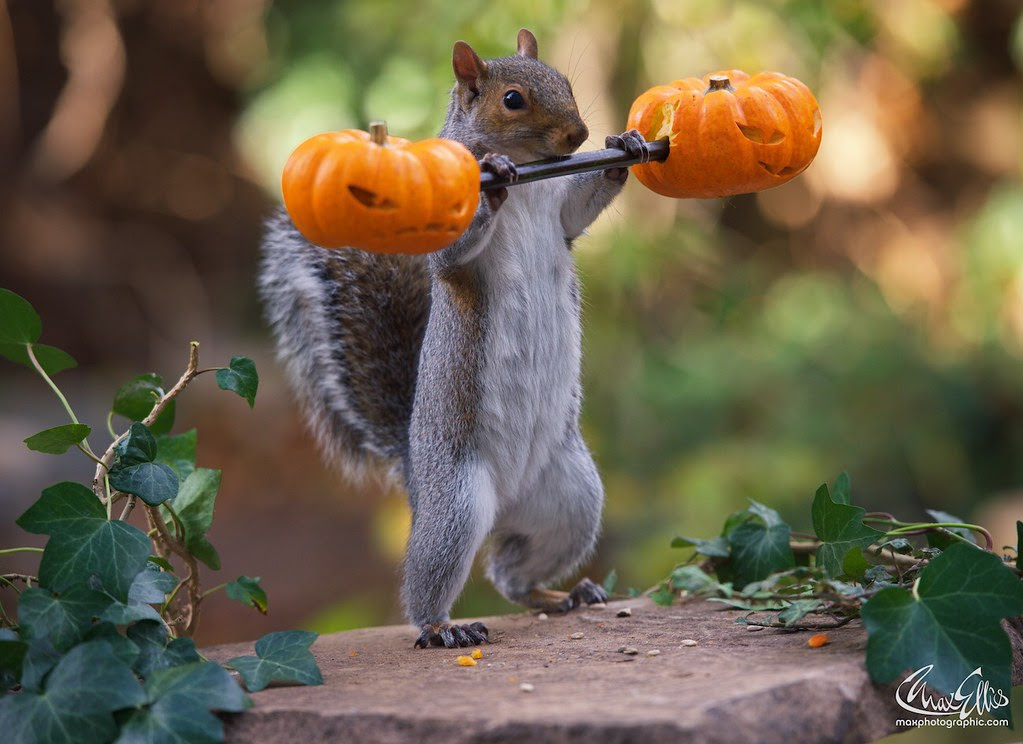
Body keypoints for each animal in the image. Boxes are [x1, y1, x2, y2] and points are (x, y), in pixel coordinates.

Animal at [261, 27, 646, 646]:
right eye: (512, 100)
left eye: (565, 83)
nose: (580, 136)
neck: (533, 178)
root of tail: (416, 476)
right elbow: (454, 249)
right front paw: (495, 176)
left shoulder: (561, 210)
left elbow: (578, 213)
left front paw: (627, 146)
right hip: (457, 507)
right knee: (430, 581)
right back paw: (442, 628)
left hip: (572, 501)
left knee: (512, 573)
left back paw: (563, 594)